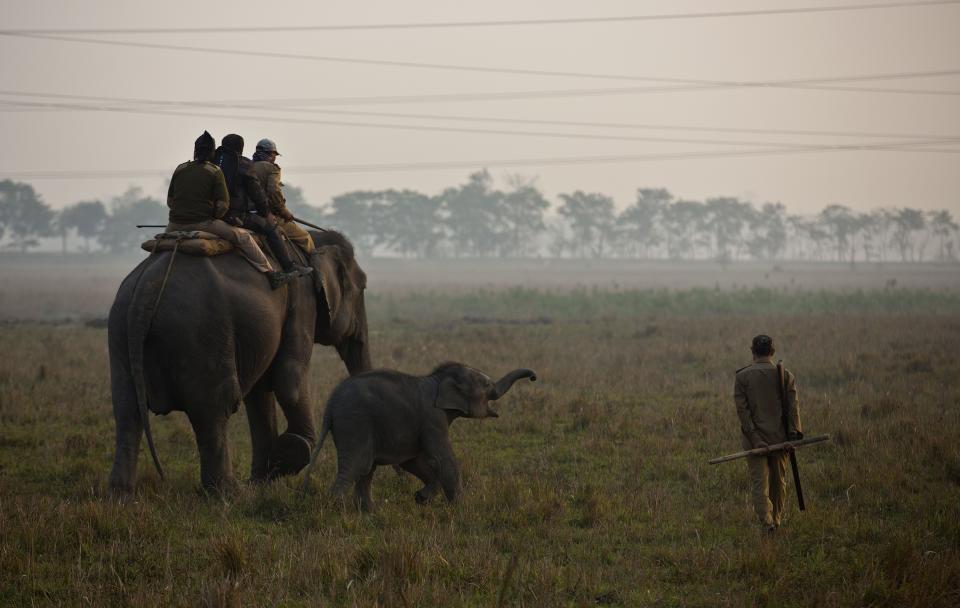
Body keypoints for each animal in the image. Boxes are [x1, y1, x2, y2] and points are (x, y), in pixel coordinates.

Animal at [107, 230, 370, 492]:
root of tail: (147, 290)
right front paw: (281, 462)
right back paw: (230, 493)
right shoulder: (303, 301)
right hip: (201, 332)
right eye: (364, 287)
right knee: (215, 407)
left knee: (127, 410)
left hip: (121, 330)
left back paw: (121, 494)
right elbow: (289, 381)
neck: (310, 244)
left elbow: (259, 393)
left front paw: (262, 482)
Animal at [304, 364, 536, 510]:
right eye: (487, 385)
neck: (439, 378)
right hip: (355, 422)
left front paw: (421, 499)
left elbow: (413, 461)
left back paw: (370, 511)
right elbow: (442, 458)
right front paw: (463, 507)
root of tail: (330, 404)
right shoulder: (433, 418)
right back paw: (337, 509)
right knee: (357, 464)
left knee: (367, 467)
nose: (534, 377)